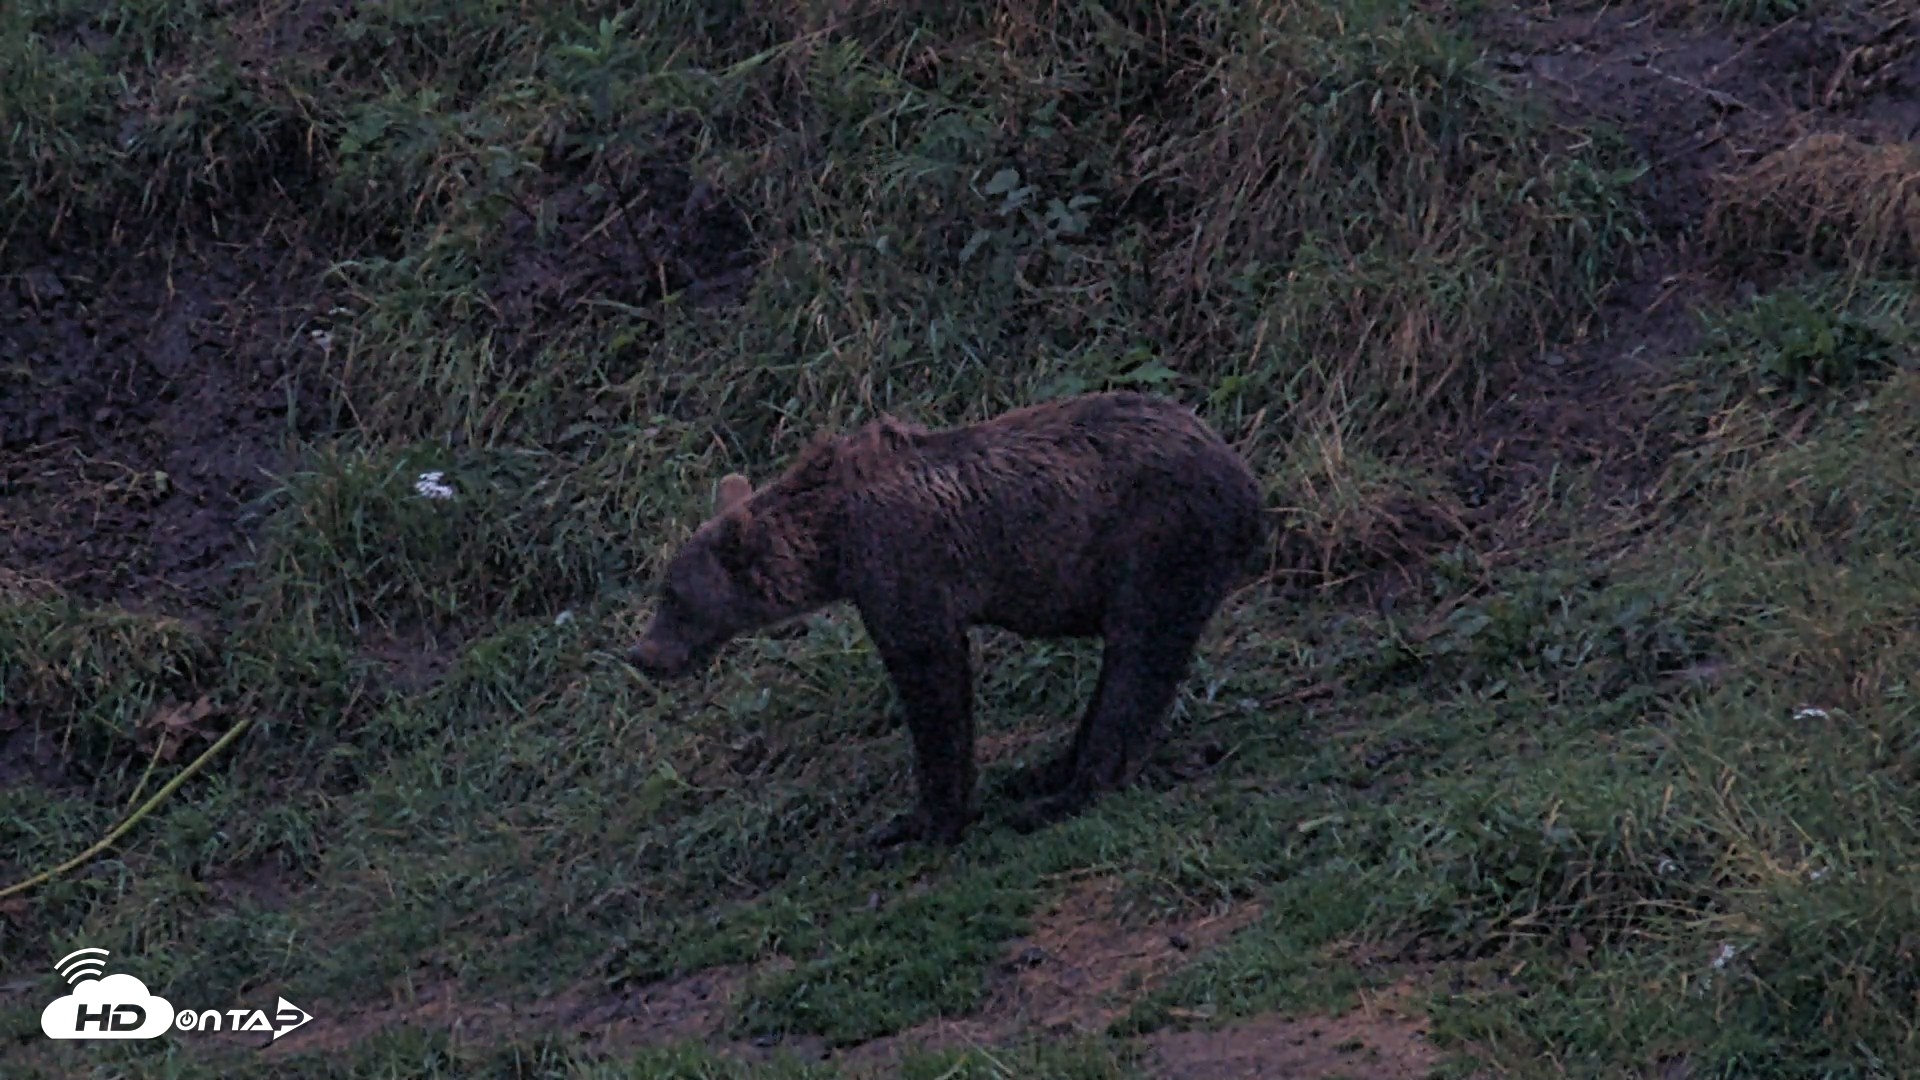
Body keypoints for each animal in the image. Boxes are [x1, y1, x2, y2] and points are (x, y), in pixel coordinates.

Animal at [629, 391, 1266, 848]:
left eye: (674, 597)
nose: (642, 655)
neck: (833, 543)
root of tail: (1244, 476)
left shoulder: (904, 569)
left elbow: (933, 687)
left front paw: (922, 822)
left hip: (1158, 539)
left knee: (1140, 658)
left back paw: (1063, 794)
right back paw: (1047, 770)